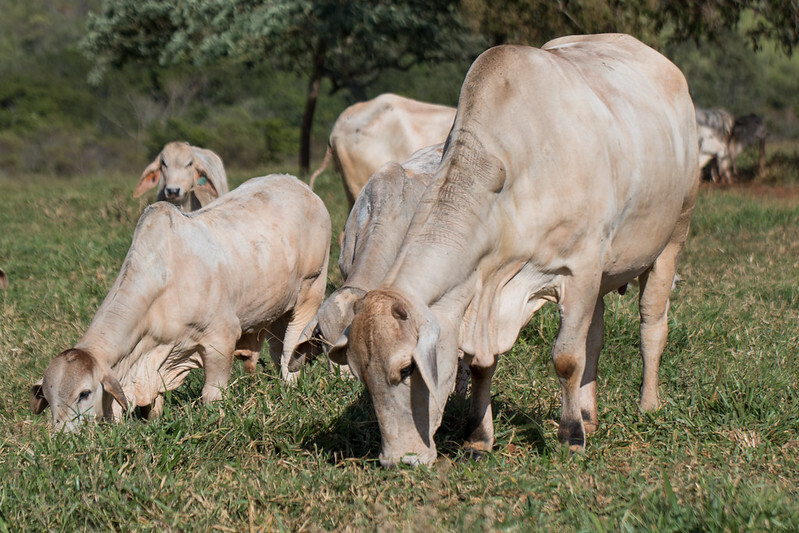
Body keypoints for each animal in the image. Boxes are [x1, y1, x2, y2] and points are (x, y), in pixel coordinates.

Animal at [31, 175, 330, 432]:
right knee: (278, 346)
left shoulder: (221, 339)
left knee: (291, 348)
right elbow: (154, 405)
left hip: (311, 291)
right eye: (49, 397)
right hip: (277, 310)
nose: (64, 437)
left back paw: (289, 386)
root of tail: (304, 188)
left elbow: (212, 395)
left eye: (84, 393)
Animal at [330, 34, 700, 466]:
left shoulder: (579, 269)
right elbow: (483, 365)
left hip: (672, 237)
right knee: (595, 336)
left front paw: (570, 437)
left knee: (651, 325)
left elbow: (566, 359)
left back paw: (647, 405)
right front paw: (478, 439)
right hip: (603, 276)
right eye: (360, 375)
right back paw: (589, 414)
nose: (398, 460)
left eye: (406, 369)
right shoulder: (488, 292)